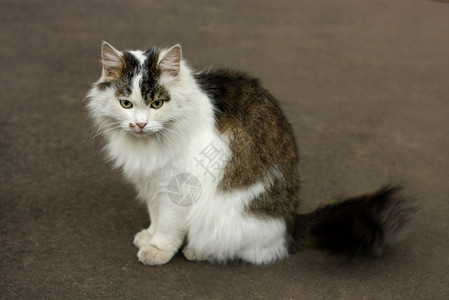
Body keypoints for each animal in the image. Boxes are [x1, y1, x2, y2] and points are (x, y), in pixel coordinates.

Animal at [87, 41, 416, 264]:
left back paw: (196, 251)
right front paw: (148, 236)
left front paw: (156, 250)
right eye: (126, 103)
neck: (148, 145)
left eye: (157, 103)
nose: (140, 124)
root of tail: (290, 220)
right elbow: (156, 217)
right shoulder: (153, 184)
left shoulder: (179, 188)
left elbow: (168, 226)